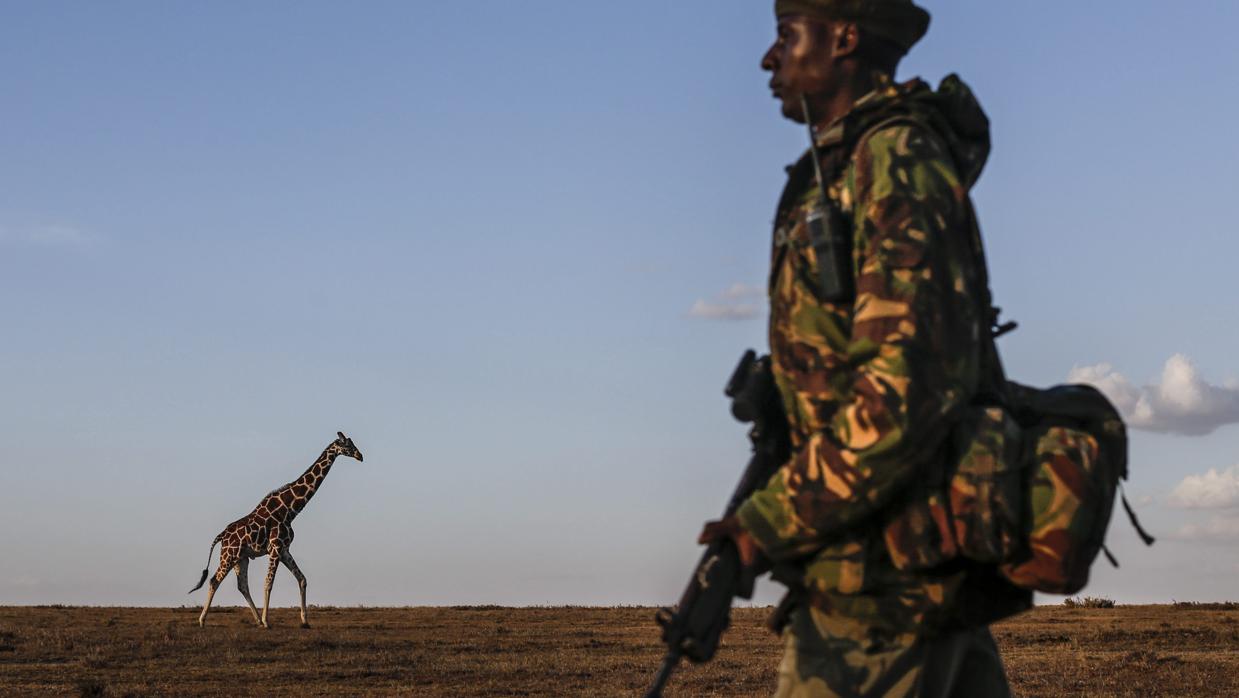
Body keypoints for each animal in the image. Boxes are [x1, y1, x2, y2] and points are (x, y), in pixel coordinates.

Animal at [185, 431, 361, 627]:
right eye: (347, 445)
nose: (360, 456)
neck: (290, 510)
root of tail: (222, 535)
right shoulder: (275, 547)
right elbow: (268, 583)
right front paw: (267, 621)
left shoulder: (284, 549)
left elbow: (302, 579)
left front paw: (304, 621)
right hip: (229, 555)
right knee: (214, 580)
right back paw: (203, 620)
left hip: (241, 558)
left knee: (242, 585)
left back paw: (256, 620)